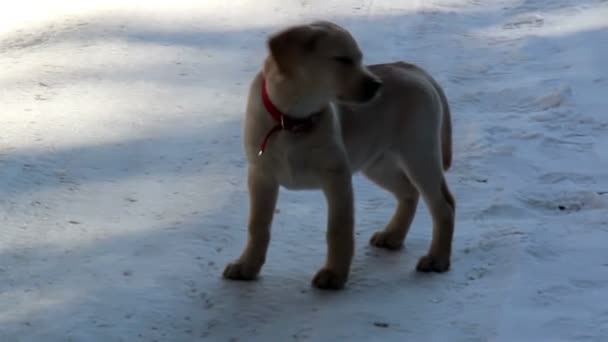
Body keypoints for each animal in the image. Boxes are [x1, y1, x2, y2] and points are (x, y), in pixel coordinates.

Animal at [221, 20, 454, 290]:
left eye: (360, 59)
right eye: (343, 59)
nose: (377, 85)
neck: (292, 121)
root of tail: (414, 70)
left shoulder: (337, 178)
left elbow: (338, 230)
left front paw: (334, 274)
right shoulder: (261, 175)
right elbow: (257, 226)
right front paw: (247, 266)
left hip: (419, 155)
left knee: (444, 206)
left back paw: (437, 259)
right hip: (377, 162)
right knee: (409, 192)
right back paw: (393, 235)